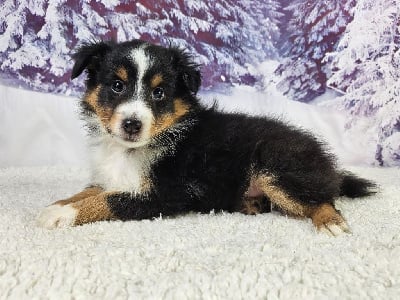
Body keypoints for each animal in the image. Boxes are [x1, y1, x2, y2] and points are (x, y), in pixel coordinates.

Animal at [36, 39, 376, 236]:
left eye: (159, 93)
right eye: (117, 86)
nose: (132, 124)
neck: (133, 149)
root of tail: (325, 161)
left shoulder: (166, 193)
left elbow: (107, 201)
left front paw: (63, 215)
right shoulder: (114, 178)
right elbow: (89, 191)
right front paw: (55, 206)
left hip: (275, 167)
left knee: (323, 199)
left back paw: (331, 223)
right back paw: (251, 204)